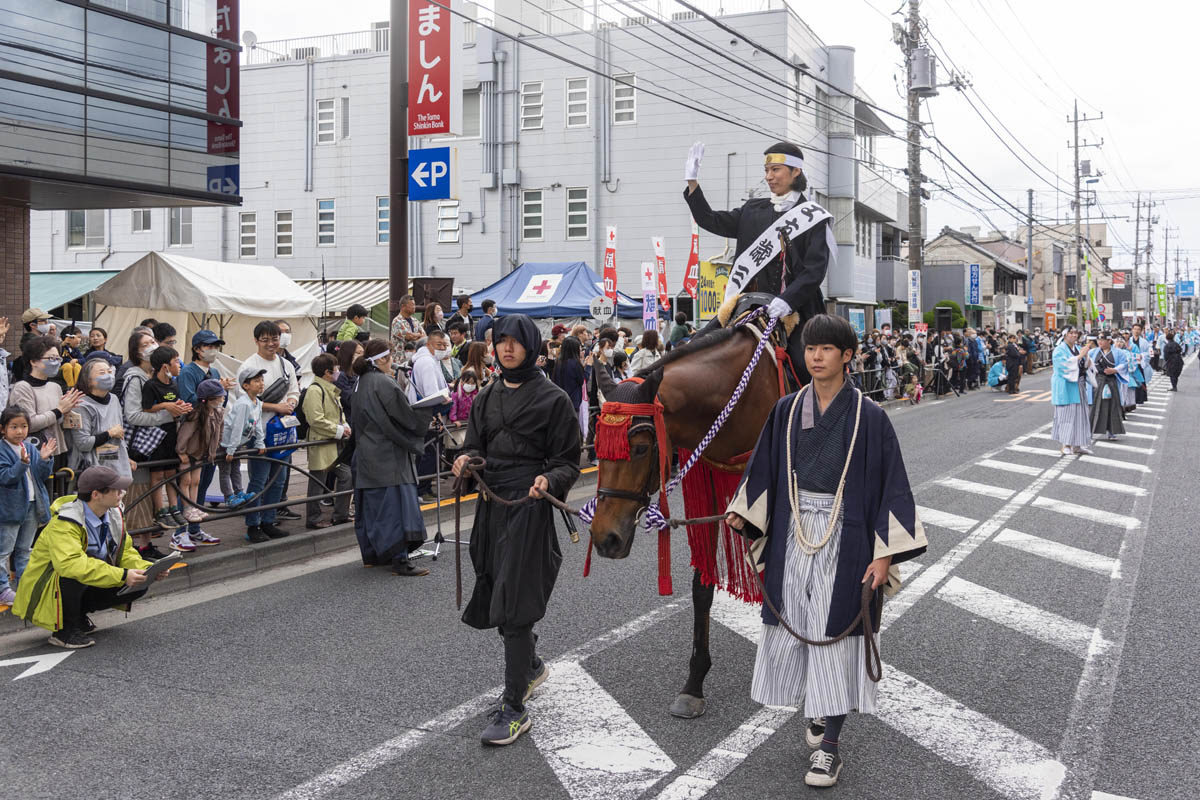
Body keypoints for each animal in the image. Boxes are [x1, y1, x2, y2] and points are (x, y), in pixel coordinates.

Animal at [588, 319, 787, 719]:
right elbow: (701, 588)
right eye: (597, 447)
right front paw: (694, 682)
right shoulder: (708, 488)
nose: (605, 538)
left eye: (640, 448)